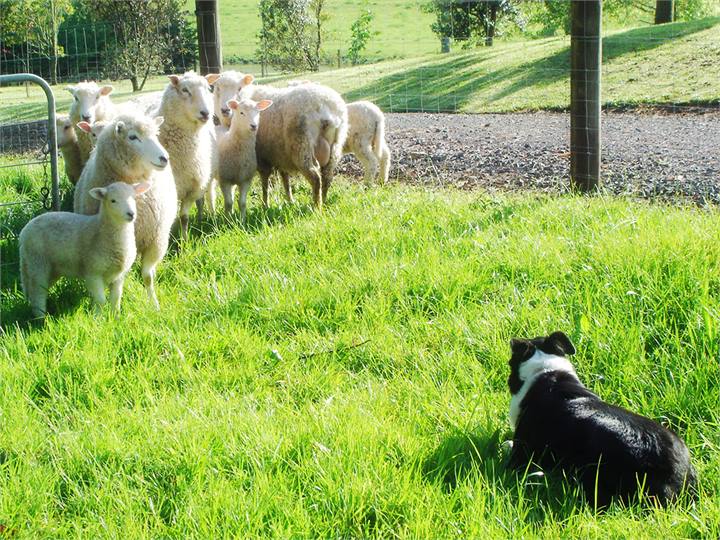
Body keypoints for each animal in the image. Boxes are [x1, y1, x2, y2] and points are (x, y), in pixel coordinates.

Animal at [20, 181, 149, 319]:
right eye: (113, 200)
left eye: (134, 198)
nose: (131, 214)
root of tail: (23, 233)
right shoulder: (93, 272)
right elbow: (101, 300)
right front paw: (98, 319)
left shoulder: (119, 275)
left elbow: (116, 298)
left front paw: (115, 317)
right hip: (37, 262)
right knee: (38, 292)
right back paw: (41, 317)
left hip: (52, 269)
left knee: (36, 291)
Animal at [74, 112, 176, 309]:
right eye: (132, 137)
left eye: (156, 134)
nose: (164, 158)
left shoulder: (156, 241)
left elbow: (147, 276)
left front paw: (154, 305)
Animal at [157, 71, 215, 239]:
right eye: (184, 90)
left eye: (208, 88)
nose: (206, 113)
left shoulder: (192, 189)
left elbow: (184, 217)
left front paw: (184, 241)